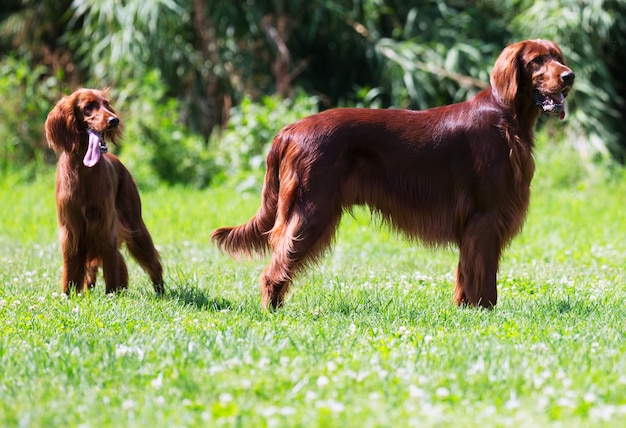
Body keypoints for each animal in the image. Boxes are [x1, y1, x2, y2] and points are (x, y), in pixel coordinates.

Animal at [46, 88, 163, 296]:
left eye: (106, 104)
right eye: (88, 107)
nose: (114, 120)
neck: (83, 171)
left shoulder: (104, 227)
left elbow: (111, 264)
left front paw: (112, 294)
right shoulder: (71, 231)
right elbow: (71, 269)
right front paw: (68, 295)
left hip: (136, 225)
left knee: (152, 262)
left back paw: (160, 293)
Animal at [212, 39, 572, 308]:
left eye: (558, 57)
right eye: (537, 61)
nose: (570, 76)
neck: (506, 117)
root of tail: (288, 130)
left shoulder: (473, 224)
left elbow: (466, 272)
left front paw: (464, 308)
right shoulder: (485, 216)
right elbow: (485, 277)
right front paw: (484, 311)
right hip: (311, 209)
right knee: (276, 264)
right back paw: (272, 311)